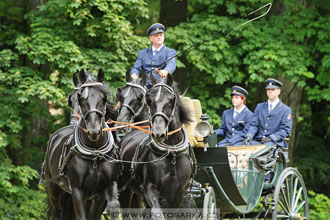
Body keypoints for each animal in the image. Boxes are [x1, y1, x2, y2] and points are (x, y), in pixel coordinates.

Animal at [44, 69, 120, 219]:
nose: (94, 131)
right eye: (80, 99)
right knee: (57, 212)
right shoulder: (78, 191)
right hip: (54, 189)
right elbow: (81, 216)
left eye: (104, 98)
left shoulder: (106, 188)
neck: (94, 152)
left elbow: (111, 208)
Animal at [119, 74, 195, 218]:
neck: (171, 153)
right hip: (126, 191)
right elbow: (157, 214)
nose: (158, 133)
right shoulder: (150, 189)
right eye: (148, 100)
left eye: (171, 100)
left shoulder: (178, 194)